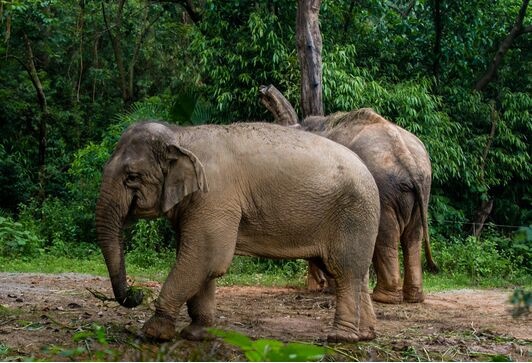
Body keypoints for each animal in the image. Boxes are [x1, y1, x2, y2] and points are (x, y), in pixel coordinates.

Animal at [94, 121, 378, 344]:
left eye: (132, 177)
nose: (137, 293)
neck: (181, 134)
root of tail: (368, 171)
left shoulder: (214, 196)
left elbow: (207, 258)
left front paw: (153, 332)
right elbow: (201, 262)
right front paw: (197, 333)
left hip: (353, 216)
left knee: (345, 272)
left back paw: (340, 337)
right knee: (356, 274)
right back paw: (364, 335)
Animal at [290, 108, 436, 304]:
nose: (319, 285)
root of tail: (408, 160)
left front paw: (329, 288)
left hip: (383, 189)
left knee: (386, 235)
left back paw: (382, 297)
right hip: (424, 188)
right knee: (413, 236)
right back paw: (413, 298)